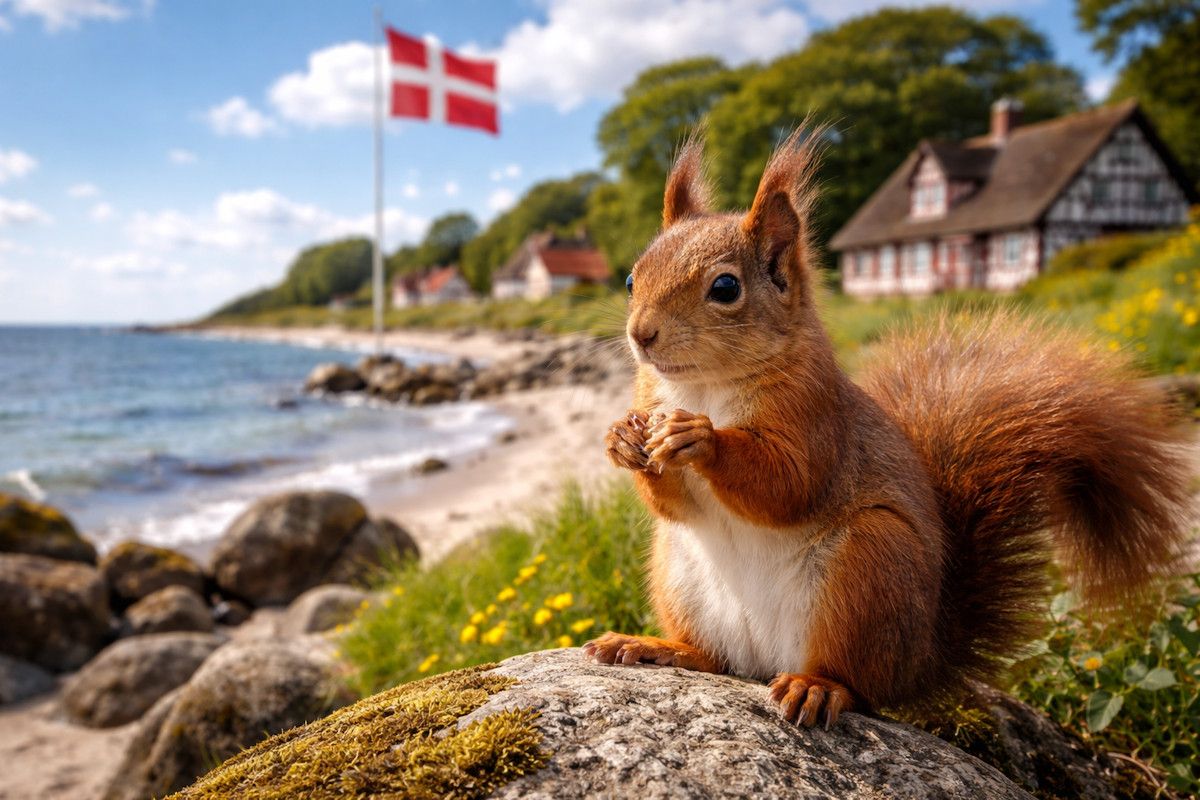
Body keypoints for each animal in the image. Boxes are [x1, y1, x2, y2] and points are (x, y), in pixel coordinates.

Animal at [582, 130, 1191, 729]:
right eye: (633, 278)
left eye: (727, 288)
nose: (641, 335)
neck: (703, 386)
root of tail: (919, 662)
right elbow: (675, 504)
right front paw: (622, 439)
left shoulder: (816, 416)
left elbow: (789, 484)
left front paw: (698, 438)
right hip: (677, 571)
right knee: (716, 659)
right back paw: (659, 647)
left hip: (871, 566)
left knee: (857, 682)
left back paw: (817, 687)